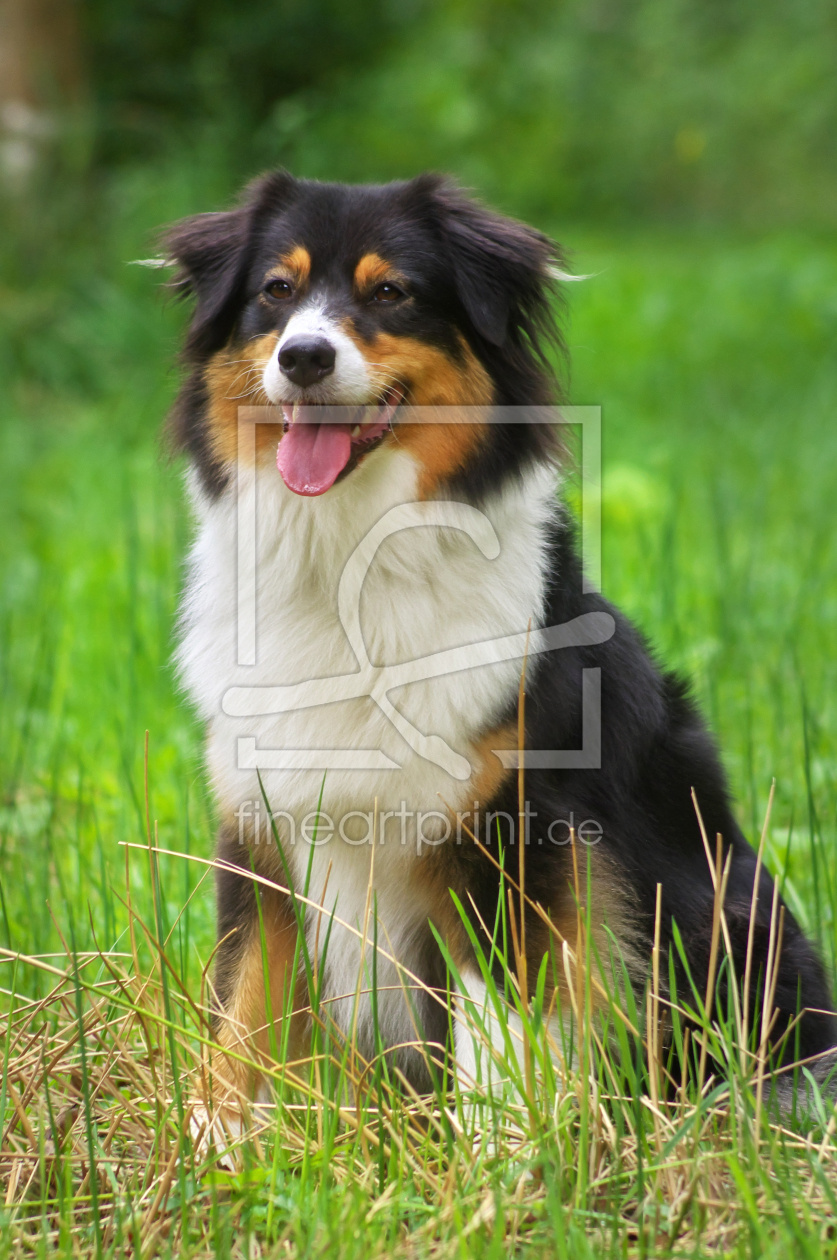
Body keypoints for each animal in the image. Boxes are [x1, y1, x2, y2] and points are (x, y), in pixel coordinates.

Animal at [161, 170, 831, 1113]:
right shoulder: (261, 827)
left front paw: (502, 1149)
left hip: (733, 922)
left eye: (392, 293)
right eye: (276, 291)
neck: (349, 559)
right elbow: (242, 1010)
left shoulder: (509, 842)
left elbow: (502, 1035)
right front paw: (215, 1138)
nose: (303, 358)